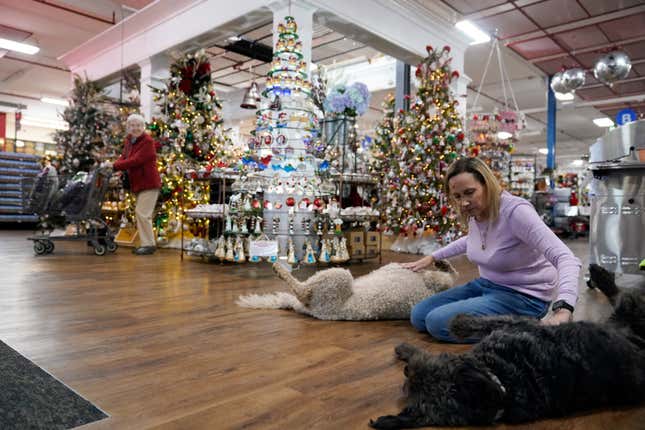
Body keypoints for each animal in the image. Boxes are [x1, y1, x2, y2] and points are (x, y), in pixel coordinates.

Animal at [234, 258, 456, 320]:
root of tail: (308, 310)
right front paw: (442, 262)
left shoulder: (437, 282)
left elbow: (450, 278)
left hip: (338, 277)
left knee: (302, 291)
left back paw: (279, 268)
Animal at [368, 264, 644, 428]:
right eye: (415, 389)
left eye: (440, 367)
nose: (407, 373)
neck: (502, 382)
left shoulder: (518, 325)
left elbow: (484, 321)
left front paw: (457, 322)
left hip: (630, 310)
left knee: (622, 294)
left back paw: (600, 275)